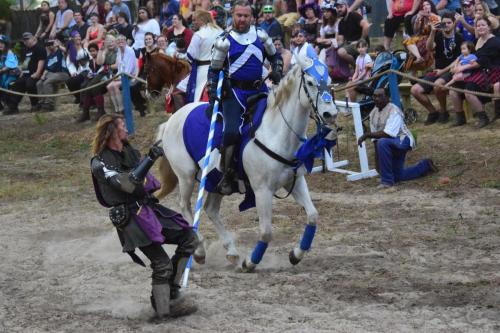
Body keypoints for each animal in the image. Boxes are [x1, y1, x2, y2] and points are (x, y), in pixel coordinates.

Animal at [155, 54, 336, 272]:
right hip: (186, 176)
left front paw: (296, 254)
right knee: (184, 206)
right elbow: (266, 231)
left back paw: (231, 251)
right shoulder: (261, 190)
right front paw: (250, 262)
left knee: (210, 209)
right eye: (310, 82)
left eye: (330, 81)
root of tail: (172, 120)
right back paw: (199, 250)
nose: (330, 114)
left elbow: (313, 216)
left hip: (215, 181)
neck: (276, 132)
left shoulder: (295, 181)